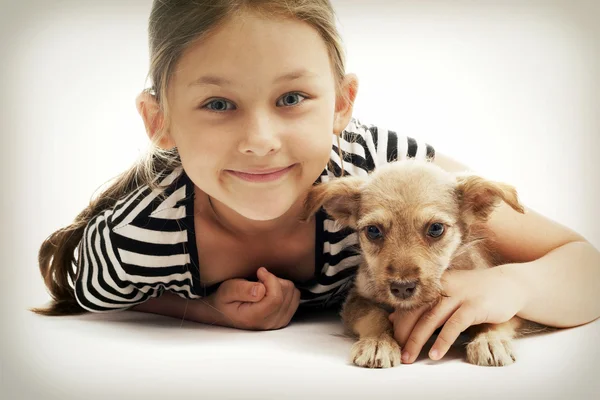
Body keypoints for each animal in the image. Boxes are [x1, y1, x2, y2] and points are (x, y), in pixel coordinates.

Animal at [302, 159, 540, 368]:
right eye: (373, 231)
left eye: (435, 228)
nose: (402, 288)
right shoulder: (357, 298)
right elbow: (374, 316)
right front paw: (378, 342)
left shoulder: (508, 308)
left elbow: (494, 318)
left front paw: (489, 341)